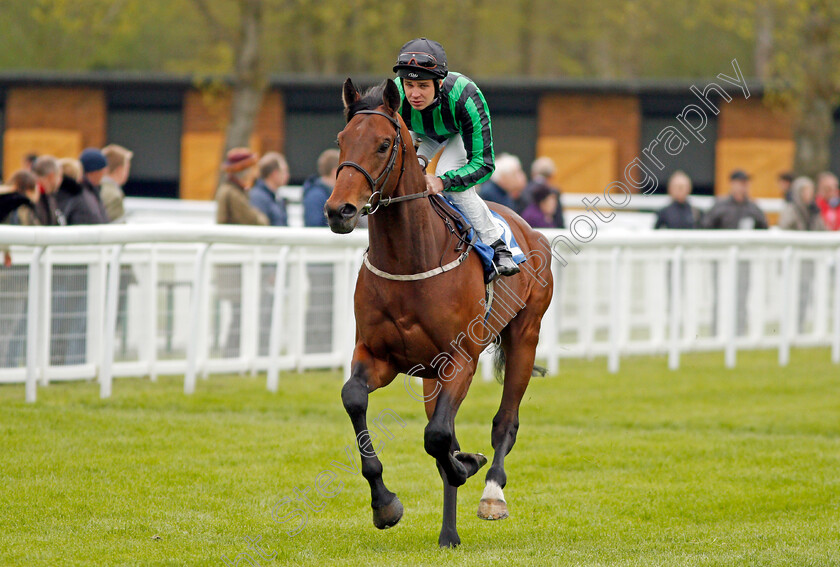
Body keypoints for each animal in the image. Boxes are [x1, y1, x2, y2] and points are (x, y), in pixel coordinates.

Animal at [324, 77, 556, 548]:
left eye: (382, 144)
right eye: (341, 140)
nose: (340, 210)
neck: (409, 259)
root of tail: (530, 229)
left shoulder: (460, 359)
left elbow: (438, 437)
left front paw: (467, 465)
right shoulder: (378, 355)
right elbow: (356, 399)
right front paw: (385, 505)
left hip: (525, 336)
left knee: (505, 420)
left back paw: (491, 494)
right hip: (431, 373)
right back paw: (448, 531)